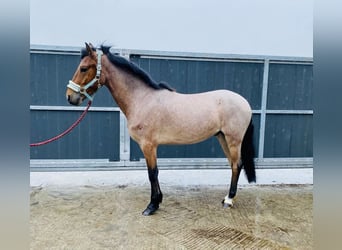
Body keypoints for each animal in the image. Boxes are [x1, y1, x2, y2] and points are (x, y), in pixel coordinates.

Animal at [66, 42, 256, 215]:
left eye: (83, 68)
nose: (70, 97)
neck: (142, 99)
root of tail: (245, 103)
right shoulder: (151, 146)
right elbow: (155, 173)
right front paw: (156, 202)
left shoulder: (148, 145)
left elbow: (152, 173)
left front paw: (151, 206)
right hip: (222, 137)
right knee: (233, 164)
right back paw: (226, 198)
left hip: (233, 140)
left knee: (237, 165)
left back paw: (229, 200)